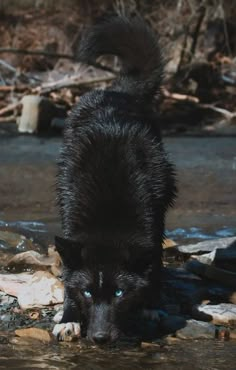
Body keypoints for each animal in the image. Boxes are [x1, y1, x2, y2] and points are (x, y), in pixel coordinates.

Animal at [53, 15, 175, 344]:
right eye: (87, 292)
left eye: (120, 293)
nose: (99, 338)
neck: (108, 220)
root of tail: (120, 91)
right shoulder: (70, 220)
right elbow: (67, 276)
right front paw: (68, 318)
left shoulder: (152, 220)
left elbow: (154, 265)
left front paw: (151, 305)